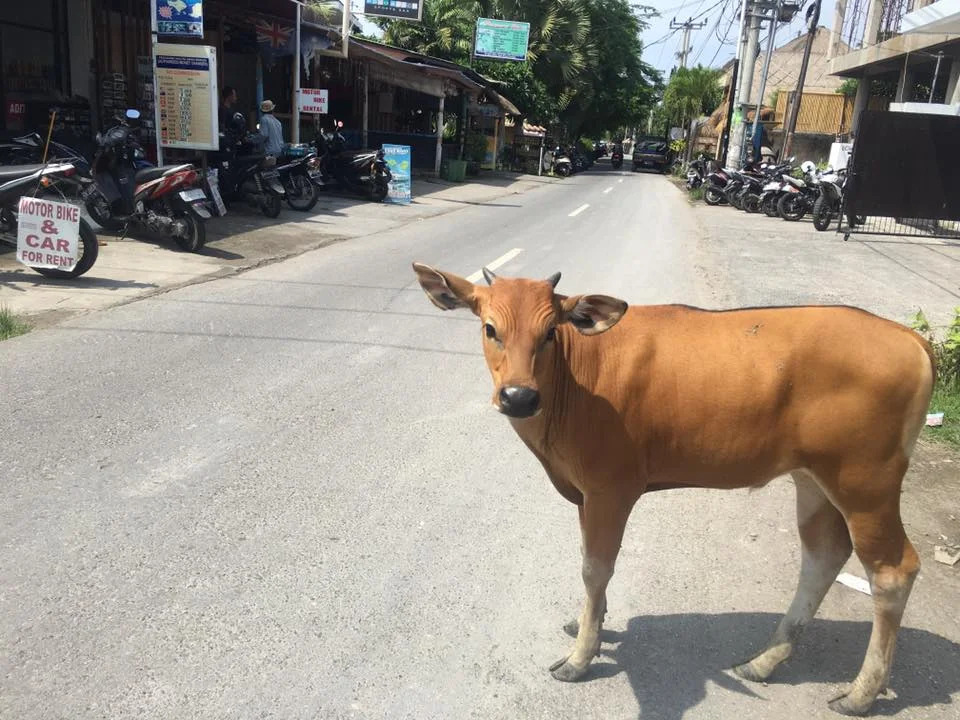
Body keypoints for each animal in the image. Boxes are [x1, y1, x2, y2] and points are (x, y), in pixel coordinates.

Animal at [411, 262, 937, 716]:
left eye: (548, 333)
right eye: (490, 328)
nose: (519, 397)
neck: (578, 378)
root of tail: (911, 339)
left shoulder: (610, 489)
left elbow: (595, 568)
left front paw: (581, 655)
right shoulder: (585, 493)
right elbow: (589, 565)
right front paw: (589, 623)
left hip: (866, 483)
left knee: (892, 571)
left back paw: (861, 693)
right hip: (813, 479)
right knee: (823, 557)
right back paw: (764, 661)